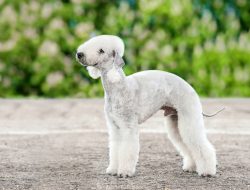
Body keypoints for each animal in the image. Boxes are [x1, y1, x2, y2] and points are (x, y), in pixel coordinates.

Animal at [76, 35, 217, 177]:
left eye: (101, 51)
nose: (79, 54)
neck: (118, 87)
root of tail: (190, 87)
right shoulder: (115, 127)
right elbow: (115, 149)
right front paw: (113, 169)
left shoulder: (128, 126)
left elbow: (127, 150)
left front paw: (125, 172)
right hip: (175, 120)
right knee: (186, 144)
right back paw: (191, 167)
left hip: (189, 117)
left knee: (201, 145)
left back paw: (207, 171)